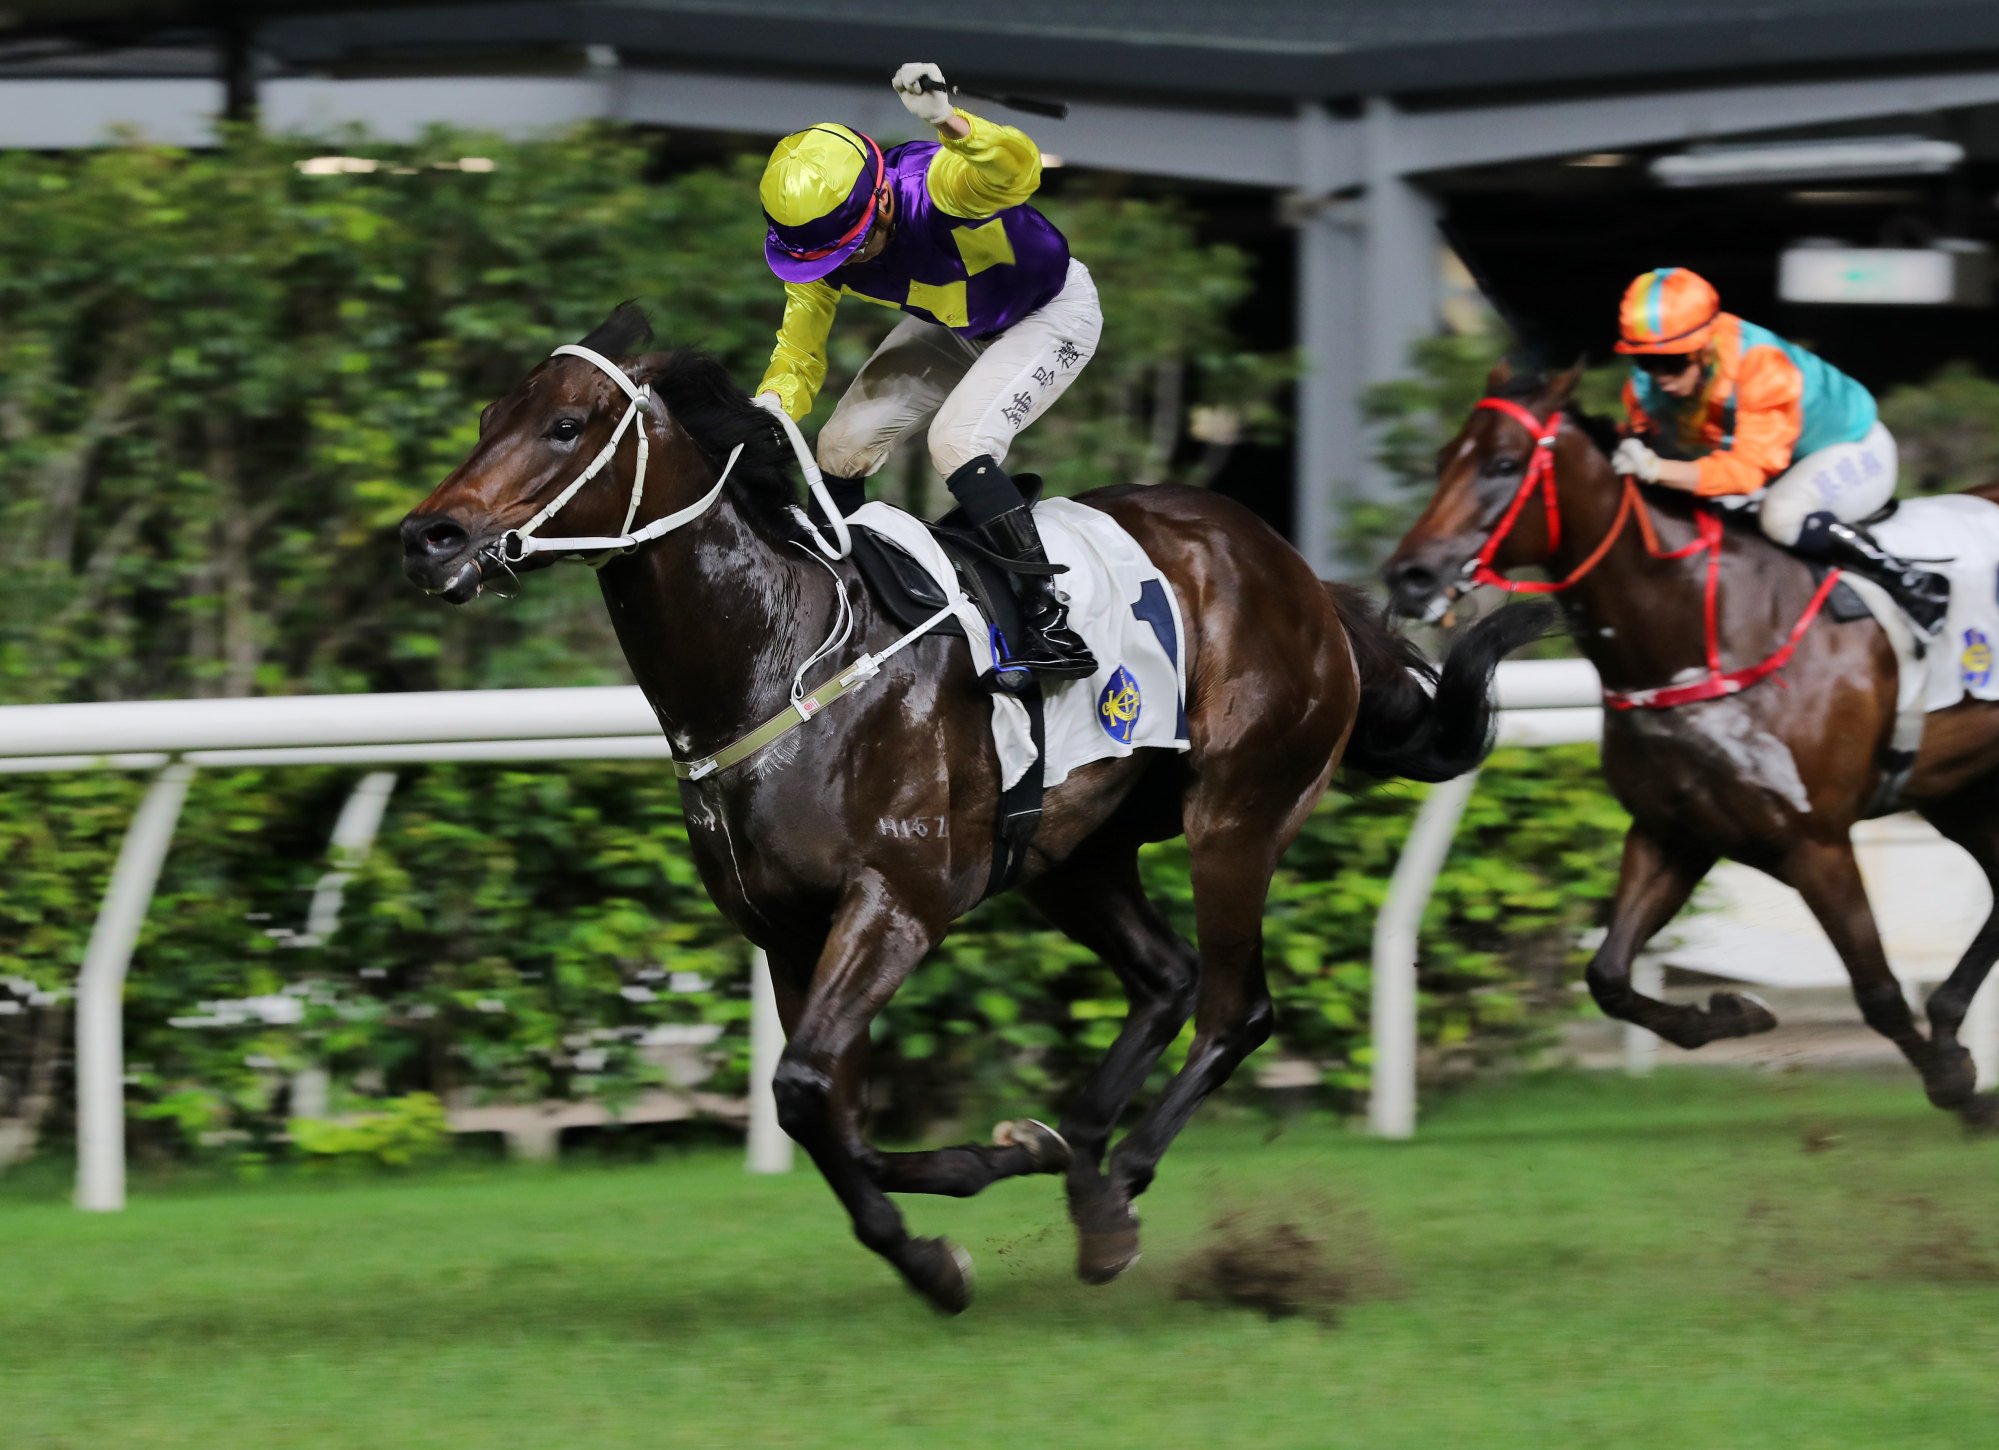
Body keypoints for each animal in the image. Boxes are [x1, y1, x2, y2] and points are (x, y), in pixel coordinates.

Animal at [393, 308, 1543, 1312]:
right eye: (489, 415)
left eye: (566, 424)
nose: (428, 536)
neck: (781, 662)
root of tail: (1296, 573)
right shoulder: (788, 930)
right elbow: (828, 1108)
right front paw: (972, 1182)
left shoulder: (897, 901)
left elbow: (805, 1090)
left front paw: (935, 1247)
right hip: (1071, 853)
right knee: (1165, 979)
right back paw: (1076, 1154)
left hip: (1238, 814)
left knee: (1232, 1006)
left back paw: (1114, 1188)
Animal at [1391, 364, 1999, 1128]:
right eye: (1445, 458)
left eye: (1503, 463)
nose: (1410, 574)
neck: (1708, 632)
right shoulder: (1671, 831)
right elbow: (1607, 974)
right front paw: (1732, 1013)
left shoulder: (1816, 843)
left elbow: (1879, 992)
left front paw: (1955, 1086)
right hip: (1959, 792)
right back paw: (1946, 1018)